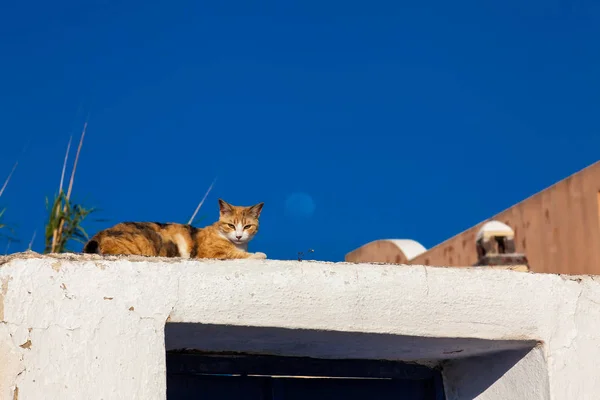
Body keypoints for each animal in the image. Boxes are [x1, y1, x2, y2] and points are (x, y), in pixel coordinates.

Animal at [82, 199, 268, 260]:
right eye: (231, 225)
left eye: (247, 226)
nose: (238, 236)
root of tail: (99, 234)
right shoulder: (210, 252)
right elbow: (236, 254)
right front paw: (259, 255)